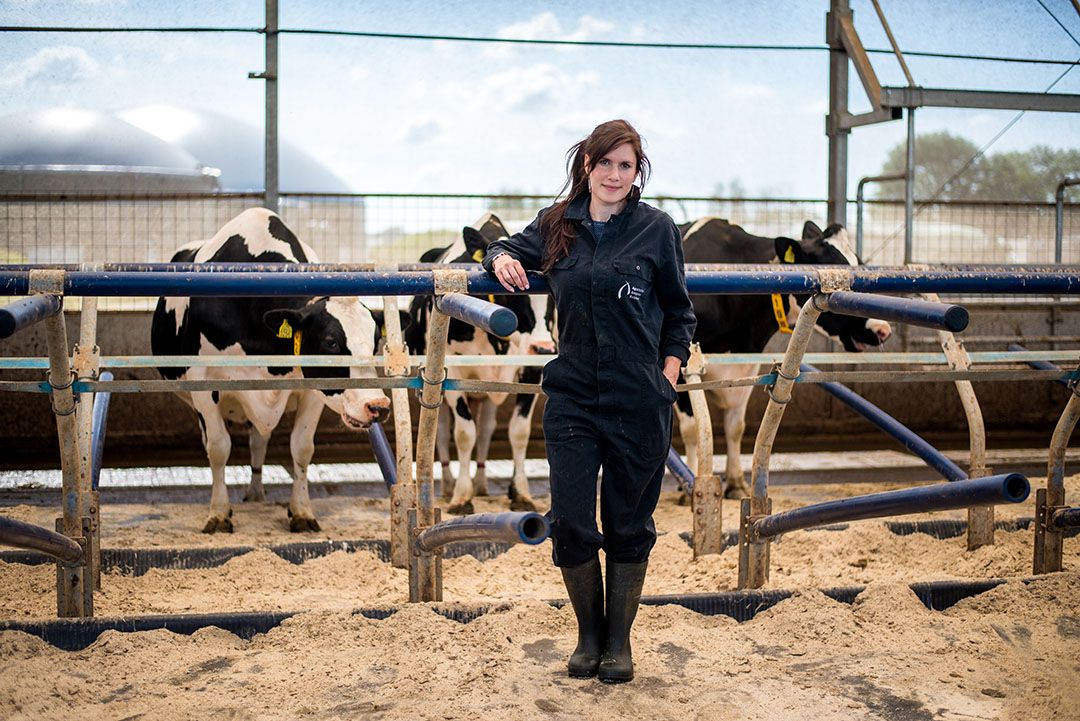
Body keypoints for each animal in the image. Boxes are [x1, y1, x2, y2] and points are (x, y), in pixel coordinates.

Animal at [150, 205, 390, 533]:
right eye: (330, 342)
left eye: (375, 341)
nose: (377, 405)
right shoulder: (203, 383)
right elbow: (218, 447)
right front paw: (219, 514)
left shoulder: (312, 391)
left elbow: (302, 448)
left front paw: (301, 512)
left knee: (258, 442)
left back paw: (256, 493)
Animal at [406, 211, 557, 515]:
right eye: (515, 291)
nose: (543, 347)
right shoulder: (454, 371)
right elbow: (465, 434)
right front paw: (462, 497)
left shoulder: (531, 370)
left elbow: (518, 432)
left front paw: (520, 492)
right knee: (442, 433)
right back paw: (449, 486)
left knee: (487, 429)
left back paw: (482, 483)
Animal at [678, 220, 889, 498]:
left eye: (861, 265)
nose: (883, 329)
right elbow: (692, 429)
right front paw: (689, 487)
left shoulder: (746, 365)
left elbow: (735, 427)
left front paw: (736, 483)